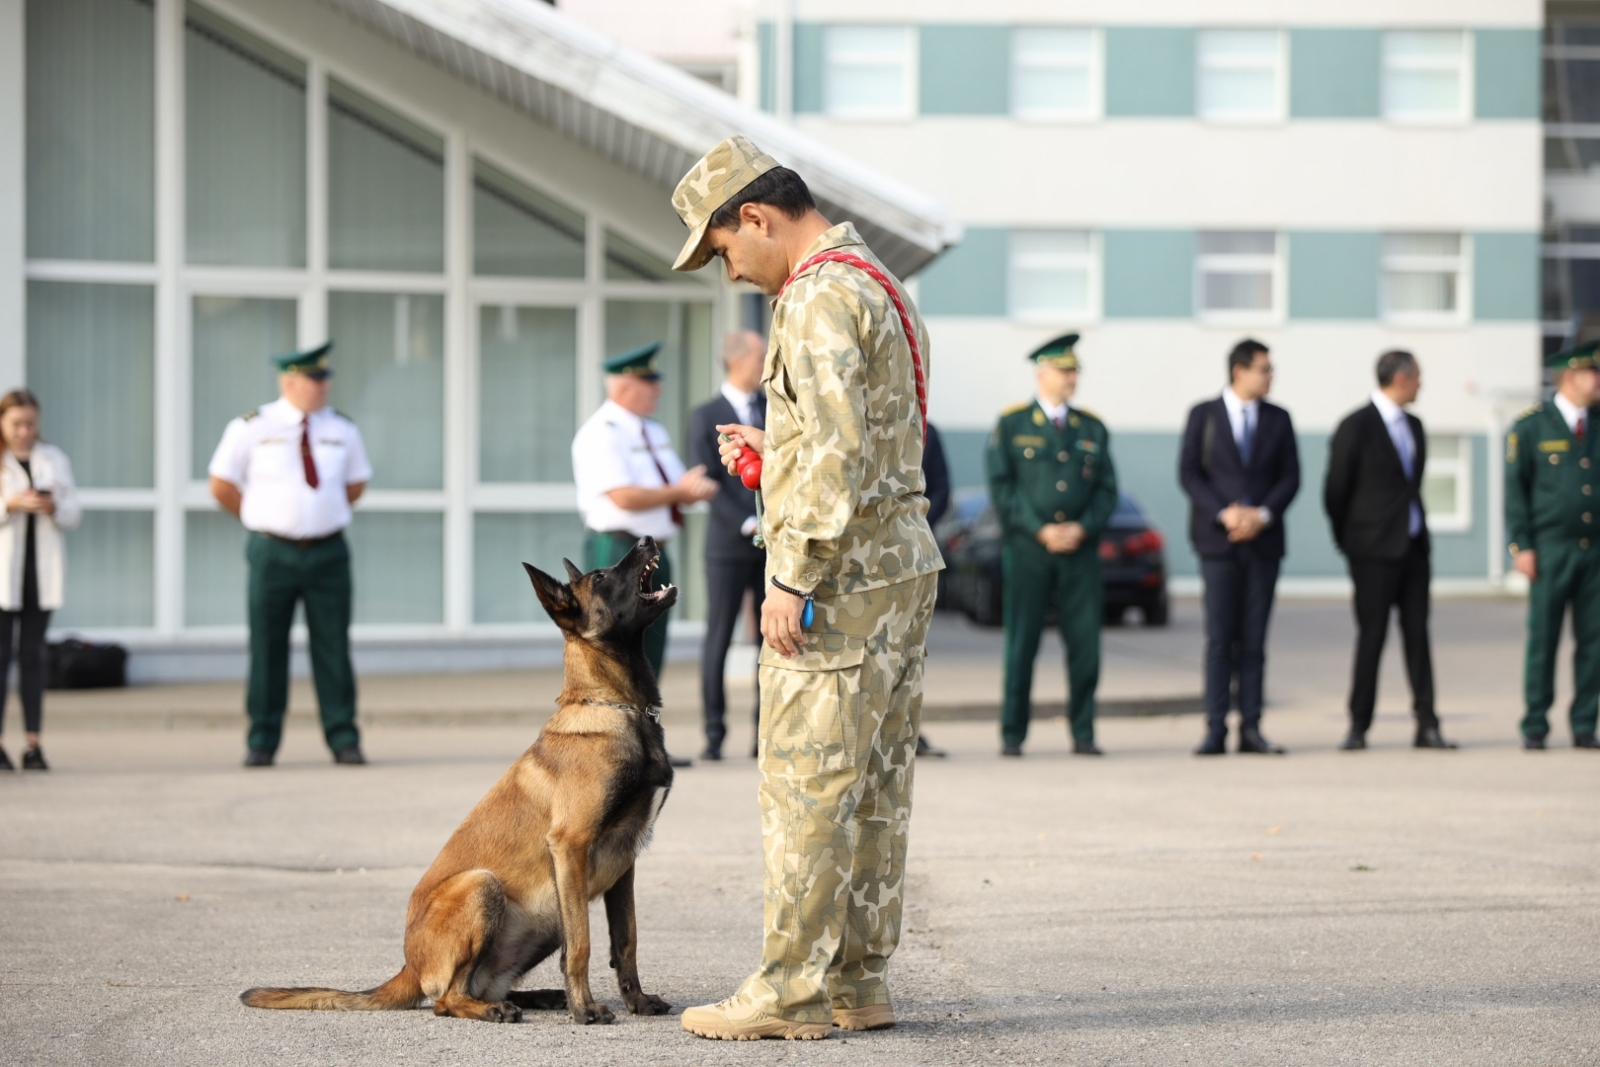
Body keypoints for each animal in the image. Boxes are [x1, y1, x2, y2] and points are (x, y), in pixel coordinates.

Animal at [240, 537, 678, 1023]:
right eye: (600, 577)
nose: (647, 539)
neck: (617, 708)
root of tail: (409, 968)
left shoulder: (624, 864)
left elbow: (627, 939)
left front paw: (636, 1001)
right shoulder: (571, 846)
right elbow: (581, 943)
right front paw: (584, 1009)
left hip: (542, 918)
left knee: (479, 984)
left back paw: (535, 997)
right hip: (484, 886)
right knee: (445, 999)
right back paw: (501, 1009)